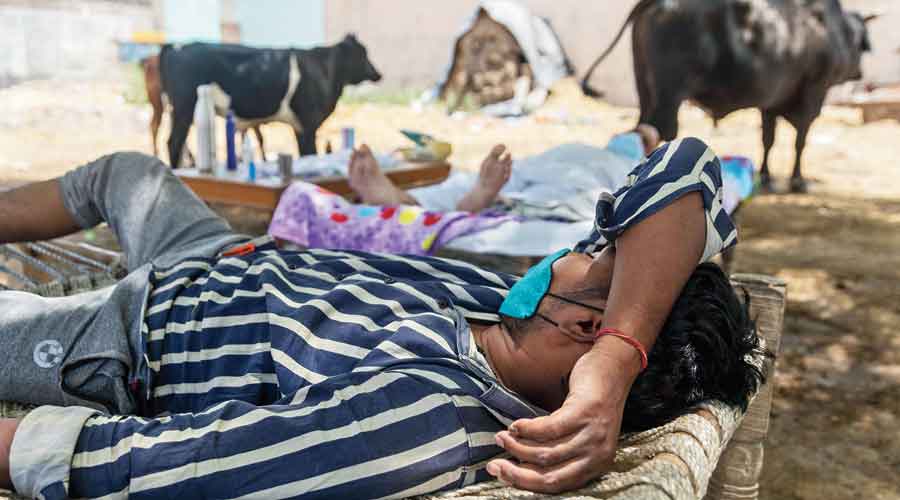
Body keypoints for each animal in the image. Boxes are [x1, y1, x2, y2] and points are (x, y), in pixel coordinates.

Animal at [158, 35, 380, 169]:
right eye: (363, 54)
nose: (378, 74)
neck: (325, 69)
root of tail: (176, 47)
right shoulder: (309, 124)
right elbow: (309, 153)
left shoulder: (300, 127)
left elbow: (304, 154)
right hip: (184, 108)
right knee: (173, 142)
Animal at [584, 0, 872, 191]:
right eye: (862, 45)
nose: (860, 73)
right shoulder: (813, 92)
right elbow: (800, 141)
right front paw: (798, 181)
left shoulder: (772, 101)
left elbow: (768, 140)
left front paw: (766, 177)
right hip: (669, 94)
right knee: (662, 130)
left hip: (644, 86)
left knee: (642, 128)